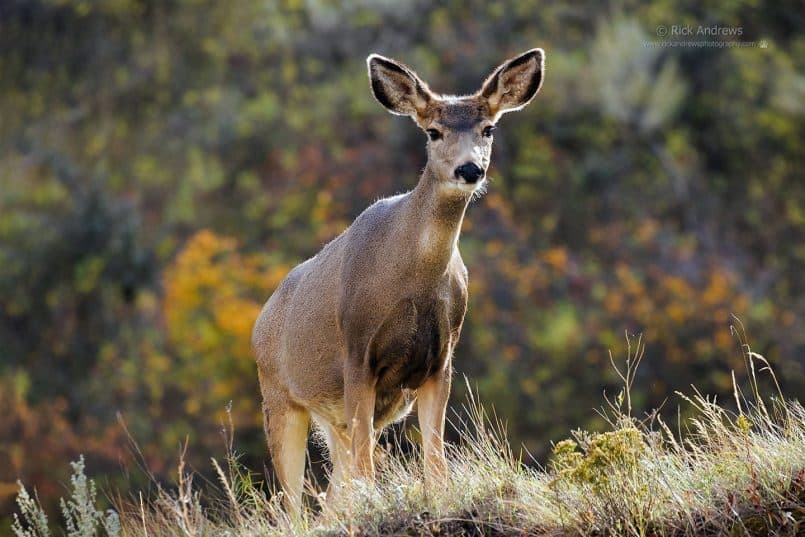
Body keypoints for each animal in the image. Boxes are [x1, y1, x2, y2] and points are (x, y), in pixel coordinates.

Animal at [253, 47, 540, 510]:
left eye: (489, 128)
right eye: (434, 132)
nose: (469, 170)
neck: (412, 280)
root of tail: (260, 321)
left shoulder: (441, 358)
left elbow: (435, 461)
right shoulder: (357, 352)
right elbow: (368, 471)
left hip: (335, 418)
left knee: (331, 494)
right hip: (279, 397)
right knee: (292, 503)